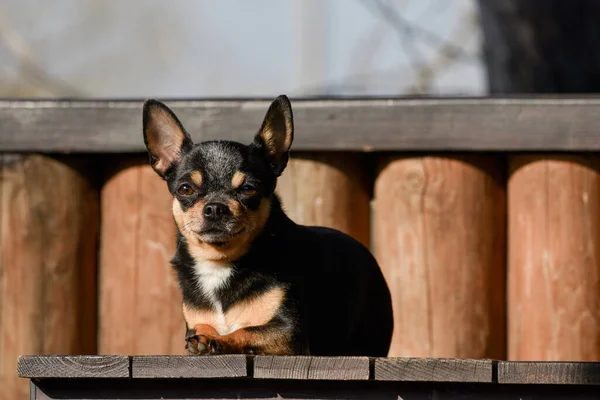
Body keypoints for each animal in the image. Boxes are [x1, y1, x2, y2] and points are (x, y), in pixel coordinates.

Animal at [141, 94, 394, 356]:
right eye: (185, 189)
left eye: (248, 189)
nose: (215, 207)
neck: (220, 264)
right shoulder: (195, 321)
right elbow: (201, 327)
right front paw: (205, 335)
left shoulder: (289, 333)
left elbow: (245, 330)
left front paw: (216, 339)